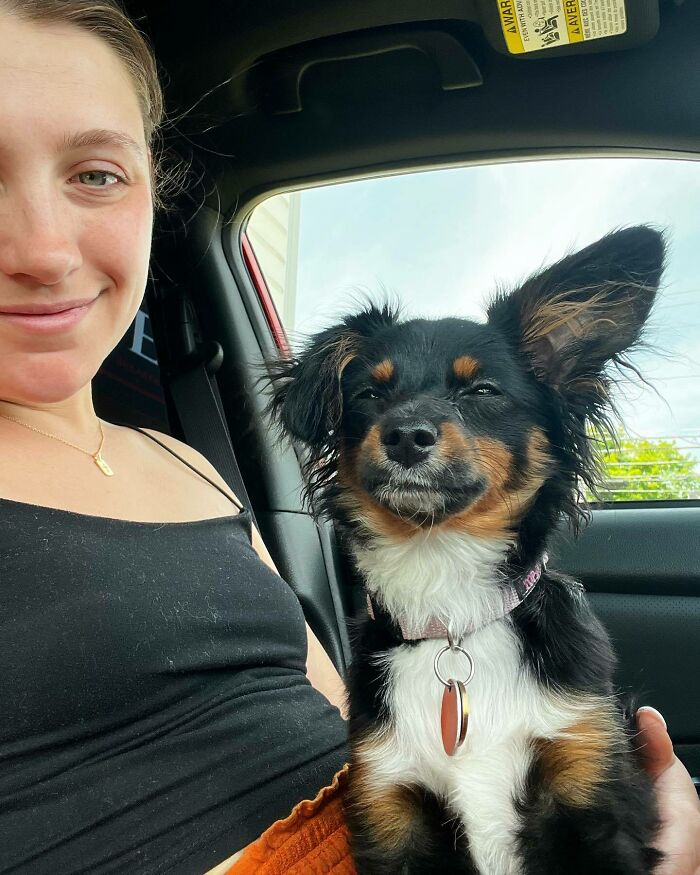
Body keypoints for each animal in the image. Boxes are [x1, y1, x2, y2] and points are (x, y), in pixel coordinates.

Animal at [270, 228, 664, 875]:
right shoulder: (388, 802)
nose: (405, 435)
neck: (451, 606)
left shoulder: (587, 778)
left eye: (482, 390)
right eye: (368, 393)